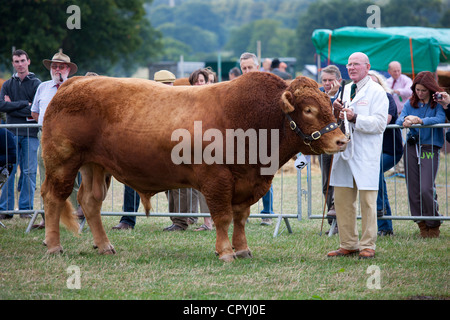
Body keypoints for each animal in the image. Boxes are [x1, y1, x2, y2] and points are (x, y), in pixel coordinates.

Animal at [39, 72, 348, 262]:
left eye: (330, 104)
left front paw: (242, 249)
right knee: (54, 198)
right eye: (308, 110)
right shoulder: (216, 180)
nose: (341, 140)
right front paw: (225, 252)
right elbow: (222, 217)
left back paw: (104, 246)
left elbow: (241, 217)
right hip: (62, 162)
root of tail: (75, 82)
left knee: (90, 201)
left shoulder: (247, 182)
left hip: (94, 166)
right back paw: (54, 246)